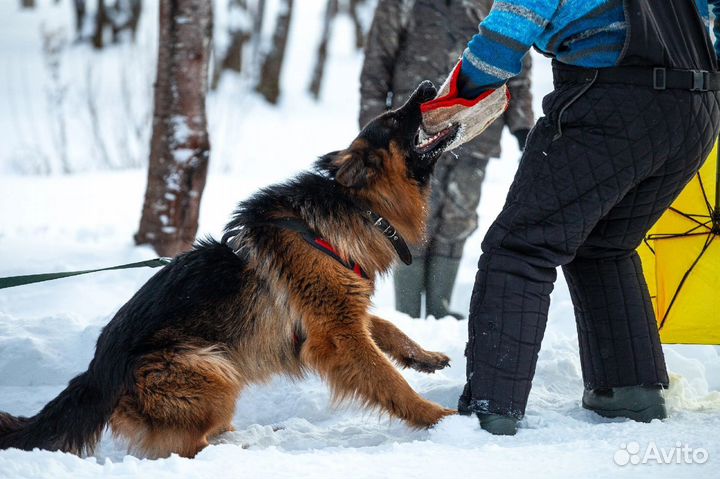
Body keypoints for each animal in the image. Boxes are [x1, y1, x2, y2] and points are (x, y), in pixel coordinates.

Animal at [0, 81, 462, 458]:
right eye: (395, 119)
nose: (426, 85)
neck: (356, 206)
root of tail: (98, 372)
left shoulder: (342, 311)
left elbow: (387, 328)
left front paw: (421, 355)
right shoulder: (337, 335)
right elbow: (389, 382)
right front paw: (437, 417)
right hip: (213, 369)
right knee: (183, 448)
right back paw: (237, 451)